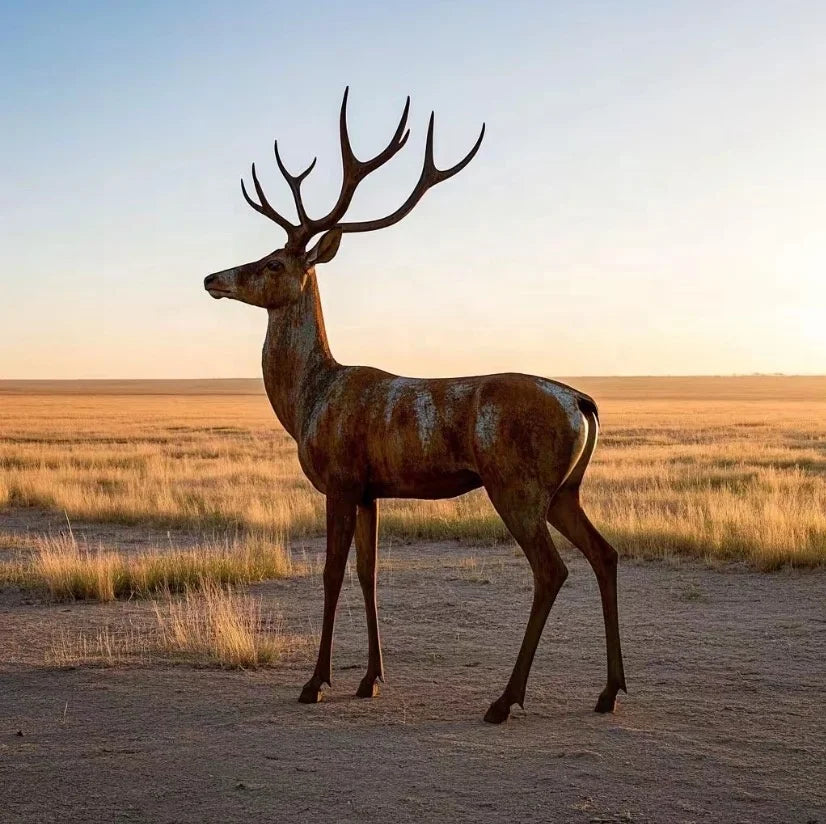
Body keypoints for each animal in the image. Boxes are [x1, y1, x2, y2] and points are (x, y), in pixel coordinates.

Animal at [204, 89, 627, 724]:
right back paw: (609, 691)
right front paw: (370, 678)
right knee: (606, 554)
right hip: (564, 490)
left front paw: (316, 682)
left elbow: (331, 574)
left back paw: (506, 699)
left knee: (552, 570)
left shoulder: (340, 478)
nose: (213, 277)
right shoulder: (372, 489)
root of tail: (579, 400)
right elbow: (369, 573)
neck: (308, 400)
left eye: (275, 262)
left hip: (517, 483)